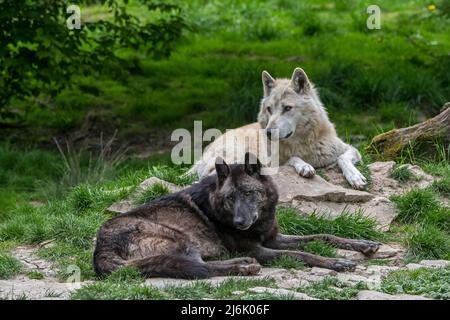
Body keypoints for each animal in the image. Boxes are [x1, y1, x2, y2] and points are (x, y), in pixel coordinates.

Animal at [94, 154, 380, 278]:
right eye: (231, 198)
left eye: (249, 193)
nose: (240, 223)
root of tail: (100, 250)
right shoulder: (260, 249)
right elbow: (302, 254)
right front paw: (337, 263)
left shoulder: (273, 238)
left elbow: (322, 235)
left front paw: (363, 244)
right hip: (182, 239)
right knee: (201, 268)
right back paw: (243, 266)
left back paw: (242, 263)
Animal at [188, 66, 368, 189]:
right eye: (269, 109)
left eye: (287, 108)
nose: (268, 132)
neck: (302, 144)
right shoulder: (271, 164)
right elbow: (292, 159)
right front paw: (304, 166)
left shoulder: (350, 149)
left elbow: (342, 158)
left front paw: (355, 177)